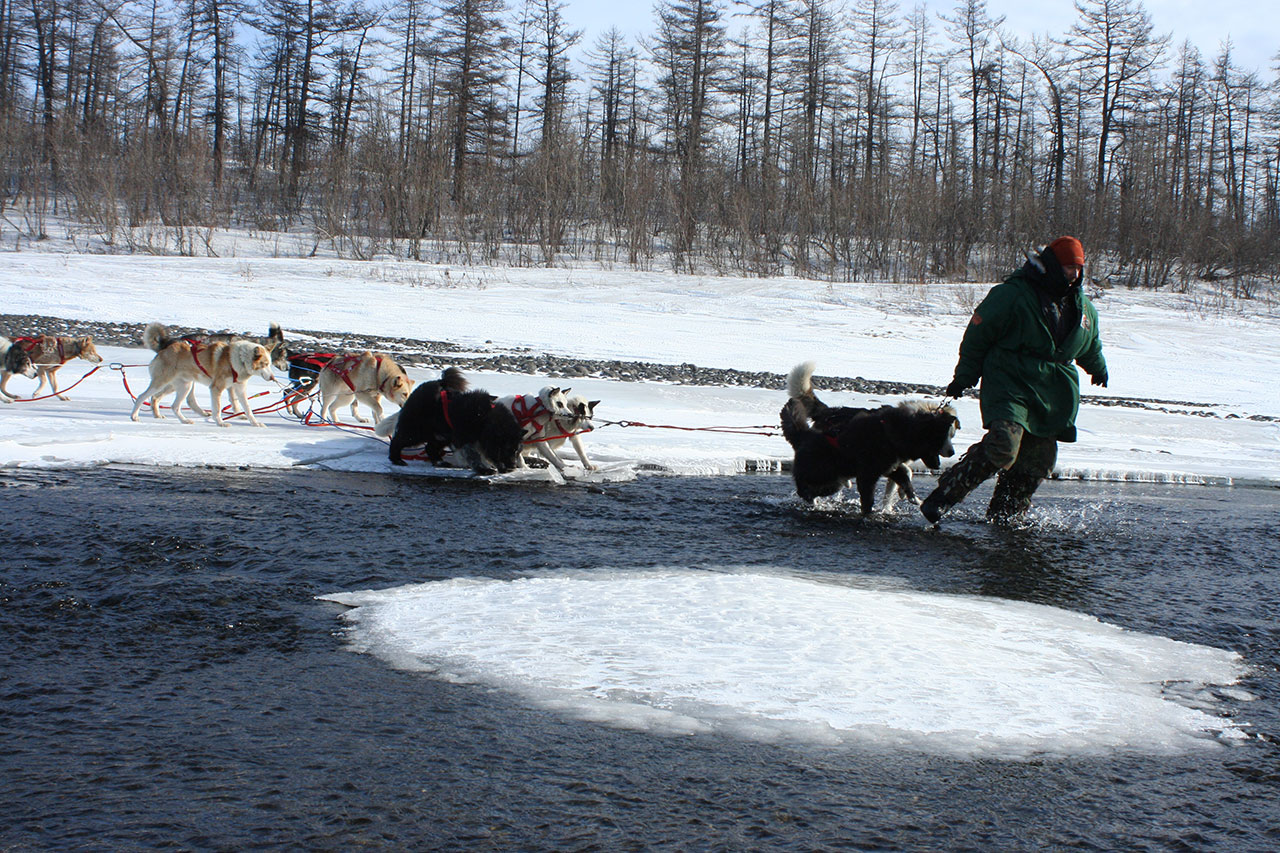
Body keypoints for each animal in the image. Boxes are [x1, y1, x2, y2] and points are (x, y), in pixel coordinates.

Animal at [129, 320, 275, 422]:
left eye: (270, 364)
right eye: (265, 364)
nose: (273, 378)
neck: (239, 359)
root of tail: (165, 347)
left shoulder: (238, 388)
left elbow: (245, 407)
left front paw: (253, 421)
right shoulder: (218, 387)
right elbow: (223, 405)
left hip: (180, 385)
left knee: (160, 399)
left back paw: (165, 416)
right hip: (164, 382)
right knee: (143, 396)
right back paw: (135, 416)